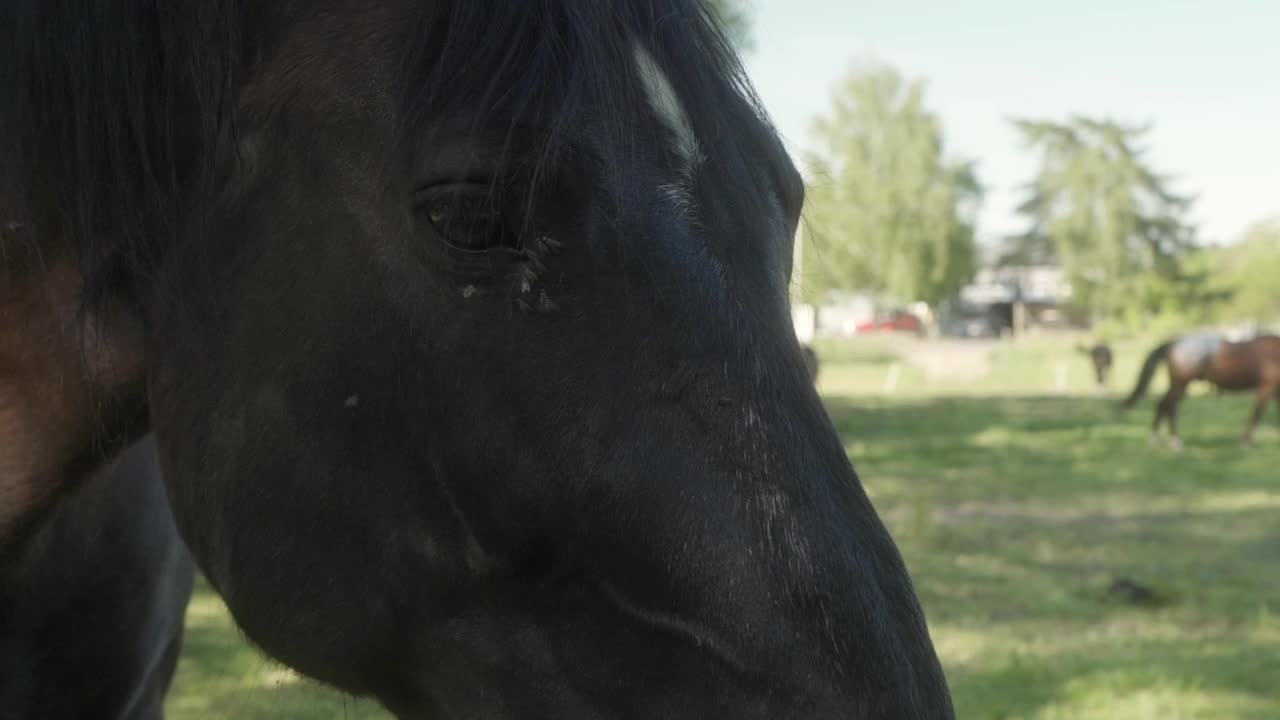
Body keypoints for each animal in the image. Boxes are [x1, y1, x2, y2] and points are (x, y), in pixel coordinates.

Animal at [1121, 333, 1280, 445]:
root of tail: (1174, 342)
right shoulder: (1267, 387)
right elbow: (1257, 413)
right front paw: (1245, 441)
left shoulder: (1274, 390)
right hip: (1180, 384)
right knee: (1170, 406)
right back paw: (1174, 441)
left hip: (1177, 385)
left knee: (1164, 406)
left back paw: (1156, 440)